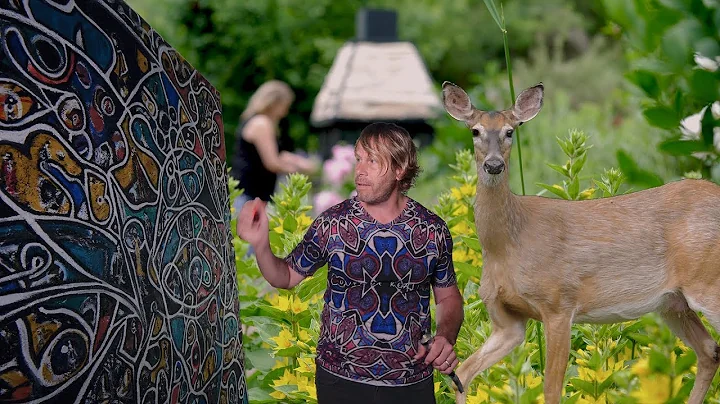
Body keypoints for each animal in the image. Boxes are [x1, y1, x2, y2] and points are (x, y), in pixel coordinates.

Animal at [438, 82, 720, 404]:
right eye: (475, 130)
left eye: (510, 131)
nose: (494, 165)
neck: (508, 244)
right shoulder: (508, 321)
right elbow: (463, 373)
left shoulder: (559, 303)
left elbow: (551, 389)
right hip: (673, 303)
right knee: (709, 351)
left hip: (707, 282)